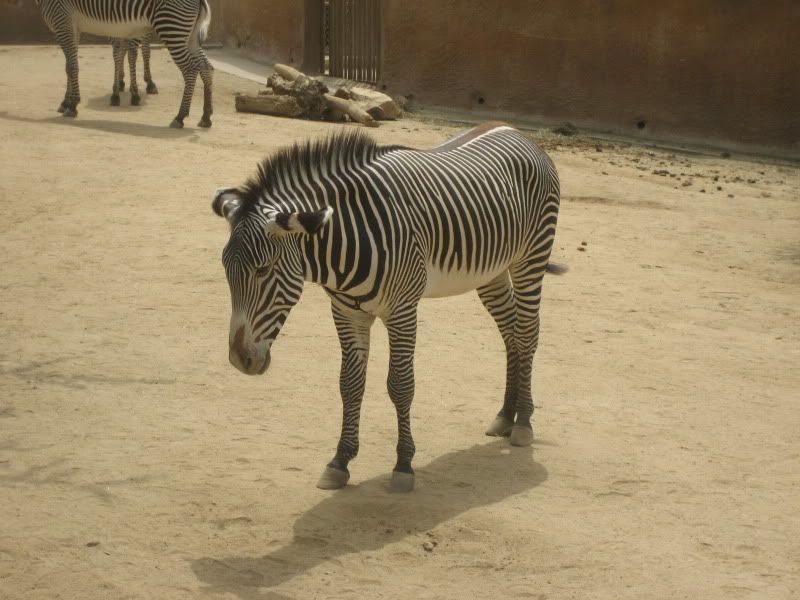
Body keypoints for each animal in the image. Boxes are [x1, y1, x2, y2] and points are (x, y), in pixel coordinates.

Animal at [37, 0, 212, 127]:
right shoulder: (72, 27)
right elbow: (68, 66)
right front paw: (65, 102)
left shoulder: (62, 20)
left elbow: (72, 67)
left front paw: (73, 105)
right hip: (189, 35)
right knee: (206, 67)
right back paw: (206, 116)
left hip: (171, 28)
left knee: (190, 69)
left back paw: (180, 116)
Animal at [211, 123, 564, 492]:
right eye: (225, 269)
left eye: (263, 269)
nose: (240, 360)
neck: (348, 240)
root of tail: (521, 134)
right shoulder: (346, 312)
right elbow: (350, 384)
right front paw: (340, 461)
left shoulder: (402, 310)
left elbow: (400, 384)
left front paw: (404, 464)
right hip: (493, 271)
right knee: (510, 332)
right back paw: (506, 416)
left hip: (531, 257)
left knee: (526, 333)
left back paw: (523, 422)